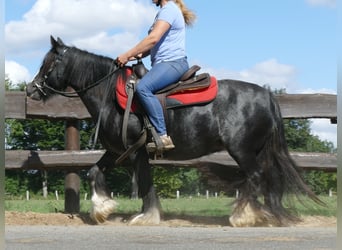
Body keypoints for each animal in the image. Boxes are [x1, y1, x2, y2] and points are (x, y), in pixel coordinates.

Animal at [26, 36, 324, 227]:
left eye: (47, 63)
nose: (31, 90)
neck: (110, 94)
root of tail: (267, 95)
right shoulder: (116, 151)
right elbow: (94, 171)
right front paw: (102, 210)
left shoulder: (136, 151)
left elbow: (144, 182)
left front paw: (146, 216)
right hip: (258, 151)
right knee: (268, 179)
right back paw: (270, 214)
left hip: (243, 150)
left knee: (255, 177)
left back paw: (243, 216)